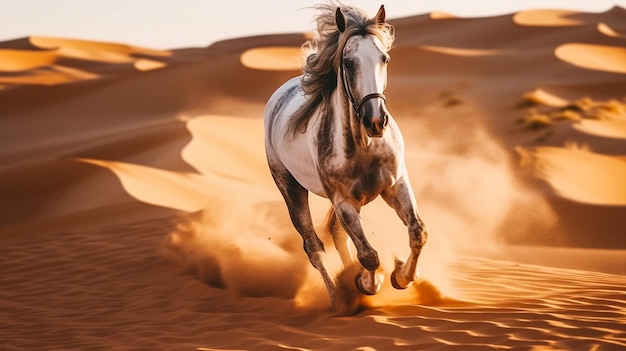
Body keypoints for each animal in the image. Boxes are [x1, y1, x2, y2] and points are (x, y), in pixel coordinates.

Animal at [260, 4, 426, 314]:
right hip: (291, 188)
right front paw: (368, 283)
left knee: (337, 235)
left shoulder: (396, 184)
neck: (365, 145)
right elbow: (369, 256)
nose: (376, 121)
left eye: (385, 58)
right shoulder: (344, 201)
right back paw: (339, 297)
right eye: (348, 62)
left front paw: (401, 276)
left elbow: (417, 232)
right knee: (314, 247)